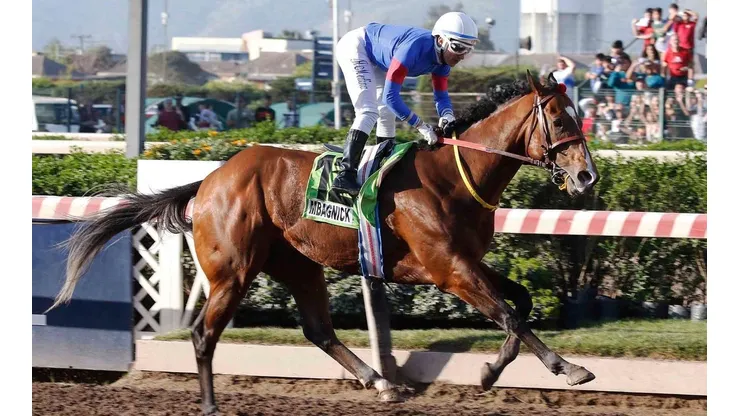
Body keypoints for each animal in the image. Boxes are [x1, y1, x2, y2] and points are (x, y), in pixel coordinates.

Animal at [48, 71, 599, 415]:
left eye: (579, 116)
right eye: (561, 119)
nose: (587, 176)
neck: (452, 175)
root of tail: (209, 181)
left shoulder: (464, 262)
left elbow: (520, 305)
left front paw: (489, 372)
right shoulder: (448, 269)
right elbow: (509, 315)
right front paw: (567, 368)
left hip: (298, 264)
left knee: (317, 330)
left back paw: (381, 382)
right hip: (233, 272)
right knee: (204, 335)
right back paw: (210, 403)